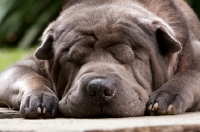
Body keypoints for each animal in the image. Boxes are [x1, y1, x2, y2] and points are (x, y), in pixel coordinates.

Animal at [0, 0, 200, 118]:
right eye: (71, 60)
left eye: (131, 57)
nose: (98, 88)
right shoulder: (28, 65)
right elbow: (27, 74)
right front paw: (39, 97)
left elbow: (190, 74)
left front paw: (168, 95)